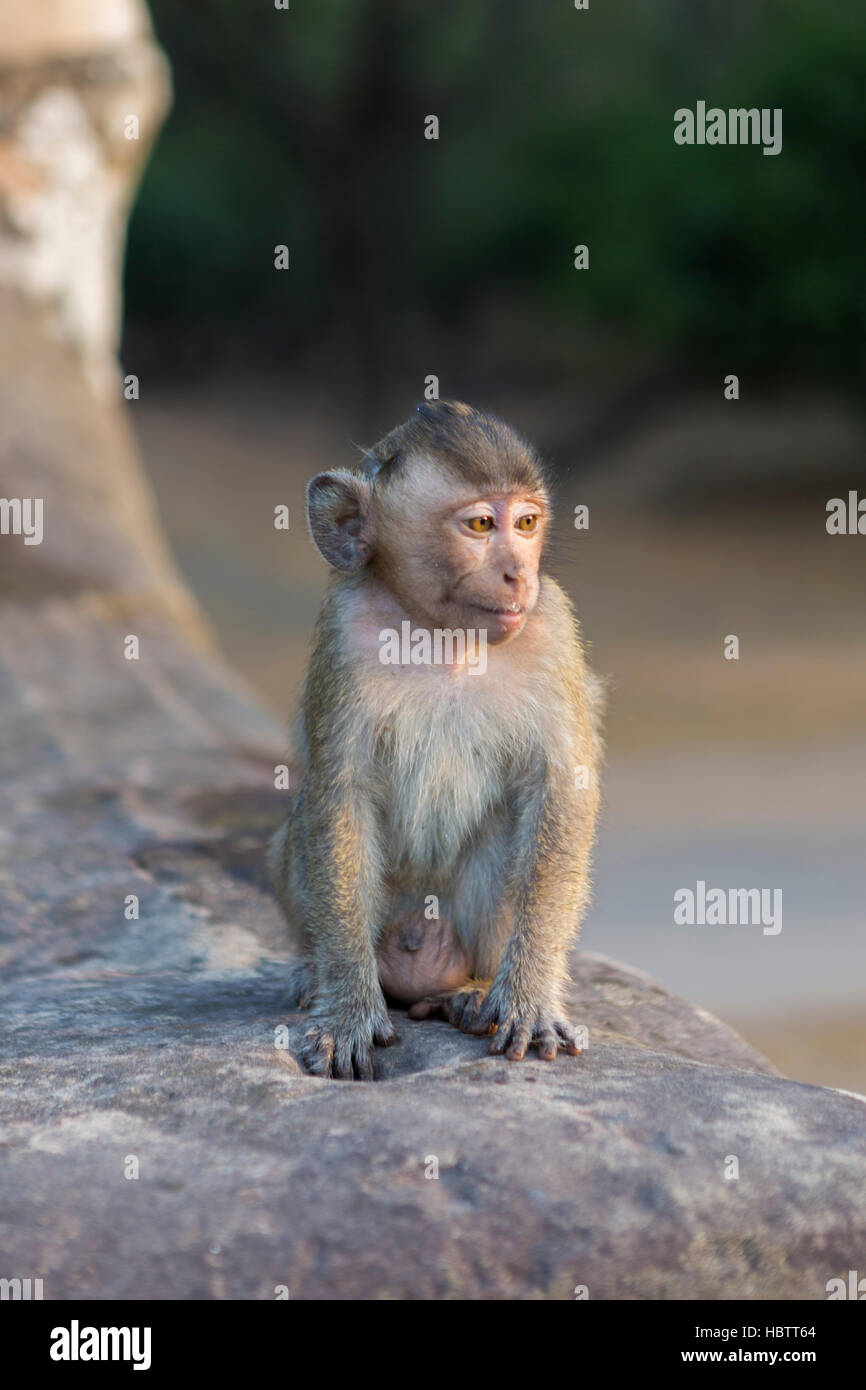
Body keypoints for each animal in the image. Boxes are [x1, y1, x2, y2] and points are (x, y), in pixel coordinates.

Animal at [269, 397, 603, 1078]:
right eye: (480, 525)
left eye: (526, 522)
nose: (518, 574)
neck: (441, 636)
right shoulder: (344, 633)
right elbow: (337, 797)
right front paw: (347, 1009)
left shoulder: (553, 625)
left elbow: (560, 792)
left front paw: (529, 998)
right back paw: (317, 972)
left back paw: (470, 993)